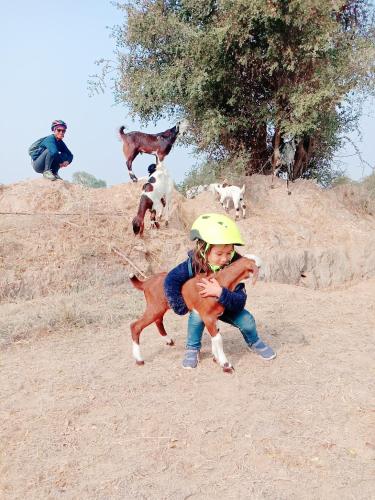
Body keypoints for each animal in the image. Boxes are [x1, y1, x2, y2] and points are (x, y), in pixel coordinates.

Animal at [129, 258, 258, 372]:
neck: (220, 281)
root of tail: (146, 283)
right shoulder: (207, 316)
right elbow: (218, 338)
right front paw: (226, 365)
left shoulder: (214, 317)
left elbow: (215, 335)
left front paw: (216, 358)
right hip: (155, 307)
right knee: (136, 326)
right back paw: (139, 359)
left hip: (159, 307)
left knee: (158, 320)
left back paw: (168, 340)